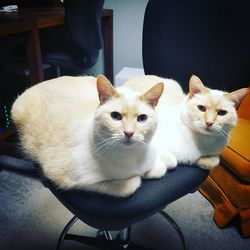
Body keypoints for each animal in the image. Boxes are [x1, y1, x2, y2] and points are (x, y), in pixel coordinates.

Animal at [11, 75, 165, 196]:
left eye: (142, 119)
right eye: (115, 116)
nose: (129, 132)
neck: (132, 157)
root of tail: (37, 85)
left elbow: (159, 168)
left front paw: (148, 171)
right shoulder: (70, 180)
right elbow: (129, 185)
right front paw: (138, 177)